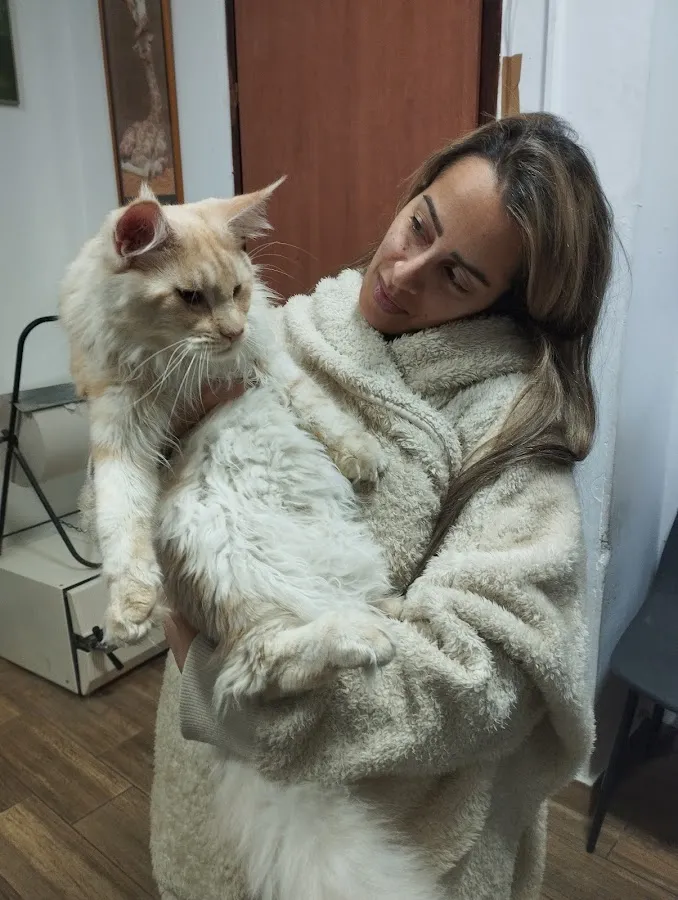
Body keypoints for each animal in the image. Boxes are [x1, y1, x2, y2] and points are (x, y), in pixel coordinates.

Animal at [59, 183, 443, 900]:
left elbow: (321, 409)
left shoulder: (271, 364)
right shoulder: (119, 429)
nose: (231, 330)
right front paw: (130, 608)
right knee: (259, 667)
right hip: (230, 570)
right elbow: (120, 526)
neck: (177, 363)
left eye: (238, 291)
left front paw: (363, 458)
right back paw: (360, 639)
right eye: (190, 298)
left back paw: (384, 618)